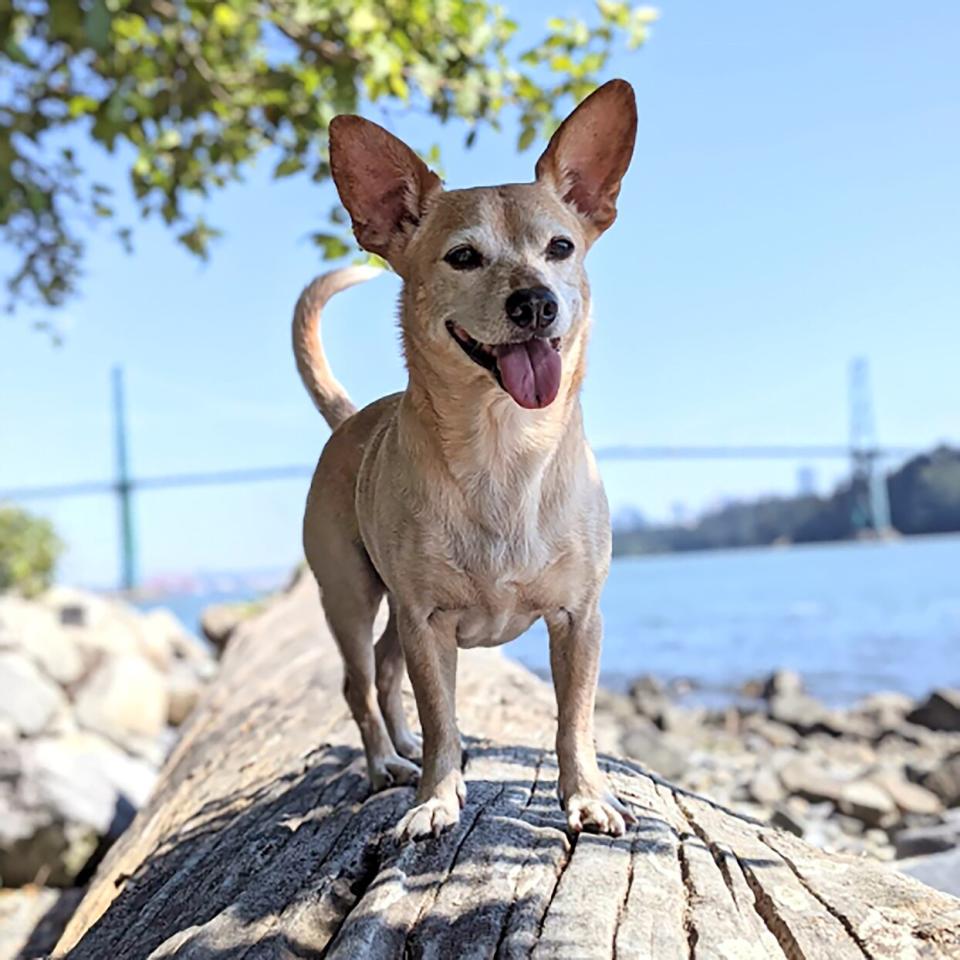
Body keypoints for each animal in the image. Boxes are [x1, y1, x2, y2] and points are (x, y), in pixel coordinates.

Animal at [292, 79, 636, 840]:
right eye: (463, 258)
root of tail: (349, 417)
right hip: (351, 596)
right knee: (361, 681)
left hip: (392, 610)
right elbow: (442, 716)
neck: (506, 449)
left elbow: (575, 719)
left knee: (384, 671)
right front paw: (435, 798)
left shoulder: (582, 620)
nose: (535, 301)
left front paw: (586, 795)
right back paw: (387, 764)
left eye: (561, 247)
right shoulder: (428, 623)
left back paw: (401, 746)